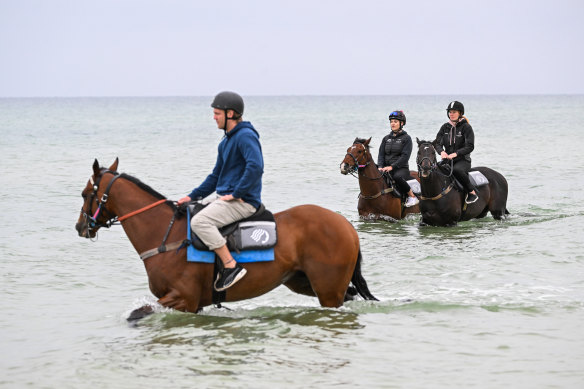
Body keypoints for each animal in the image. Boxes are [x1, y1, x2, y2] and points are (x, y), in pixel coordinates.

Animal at [75, 158, 376, 316]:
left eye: (85, 193)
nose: (80, 226)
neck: (165, 235)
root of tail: (345, 225)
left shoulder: (182, 299)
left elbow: (138, 313)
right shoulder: (192, 305)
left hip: (327, 290)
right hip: (303, 282)